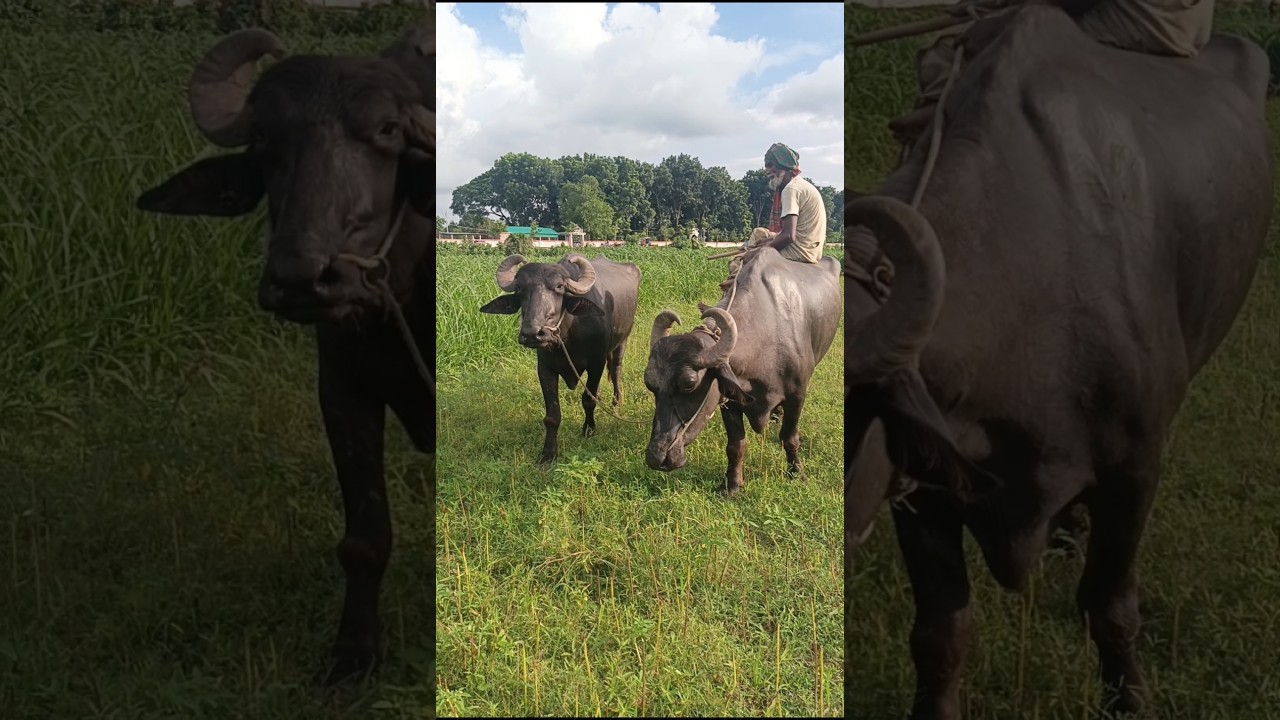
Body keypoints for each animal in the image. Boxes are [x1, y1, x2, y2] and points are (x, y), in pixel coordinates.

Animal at [134, 21, 435, 684]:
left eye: (387, 131)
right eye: (266, 137)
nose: (301, 278)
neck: (396, 301)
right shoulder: (342, 390)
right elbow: (364, 537)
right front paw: (352, 654)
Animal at [479, 253, 642, 464]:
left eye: (559, 287)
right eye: (520, 289)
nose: (532, 333)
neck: (567, 335)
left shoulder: (596, 363)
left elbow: (587, 400)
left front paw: (589, 429)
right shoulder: (545, 369)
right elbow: (552, 416)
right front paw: (548, 453)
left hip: (623, 339)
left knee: (615, 369)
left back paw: (616, 401)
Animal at [644, 246, 840, 494]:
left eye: (689, 383)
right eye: (650, 384)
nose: (656, 456)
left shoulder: (797, 395)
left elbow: (789, 437)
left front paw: (796, 473)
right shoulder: (729, 401)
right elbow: (735, 445)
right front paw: (733, 485)